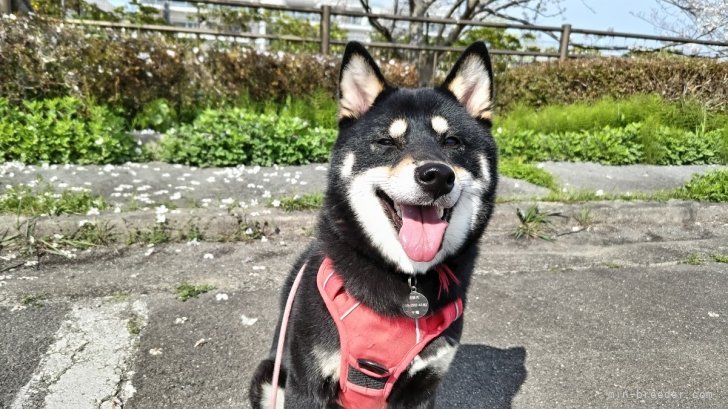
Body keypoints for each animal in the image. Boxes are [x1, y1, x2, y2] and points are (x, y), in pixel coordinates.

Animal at [249, 42, 494, 408]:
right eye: (387, 142)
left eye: (452, 142)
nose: (437, 175)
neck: (407, 279)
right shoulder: (307, 381)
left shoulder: (425, 384)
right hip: (270, 374)